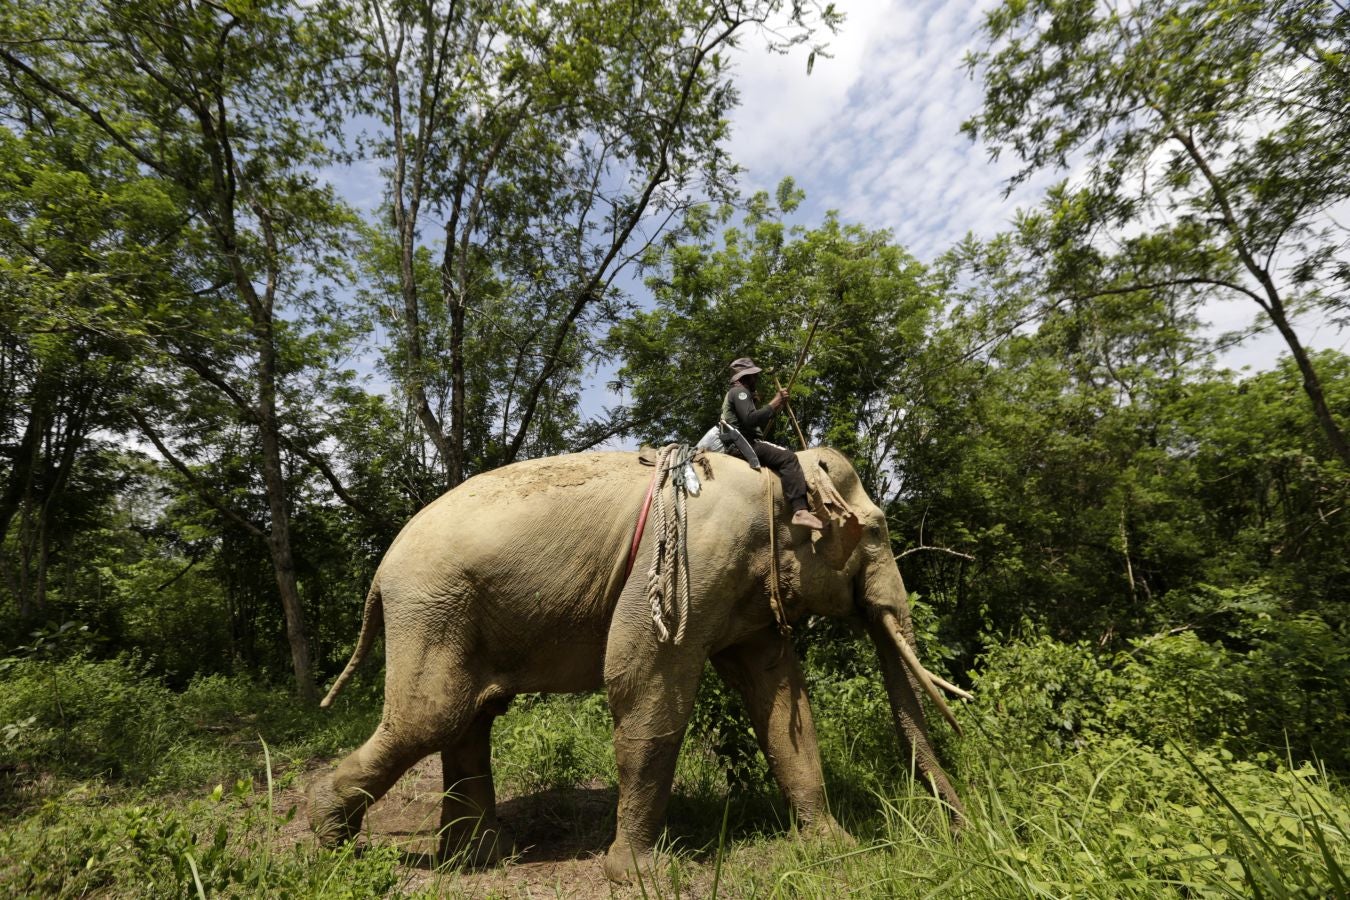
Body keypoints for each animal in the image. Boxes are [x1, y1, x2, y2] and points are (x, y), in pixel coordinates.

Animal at [309, 447, 961, 885]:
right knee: (433, 717)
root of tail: (380, 570)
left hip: (455, 613)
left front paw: (831, 846)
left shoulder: (749, 592)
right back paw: (327, 840)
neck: (774, 479)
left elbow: (781, 701)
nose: (959, 827)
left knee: (472, 717)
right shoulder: (690, 565)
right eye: (875, 531)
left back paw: (480, 858)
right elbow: (643, 684)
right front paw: (638, 877)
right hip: (432, 606)